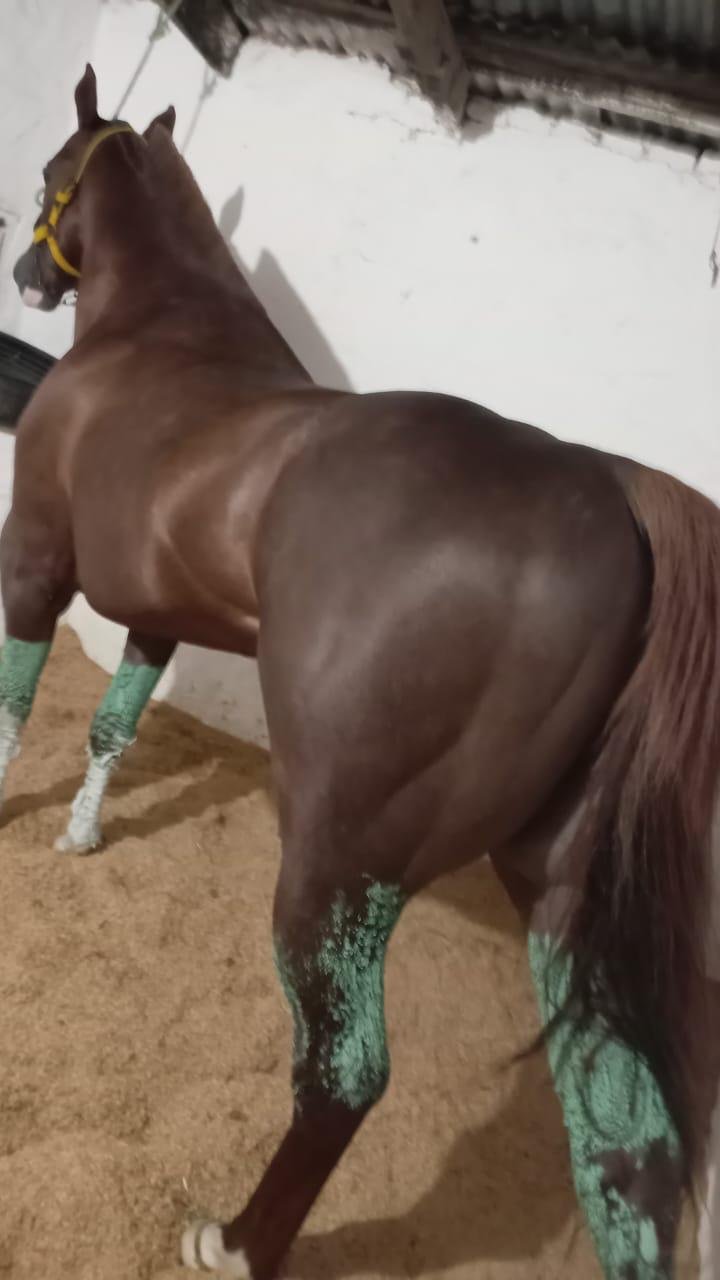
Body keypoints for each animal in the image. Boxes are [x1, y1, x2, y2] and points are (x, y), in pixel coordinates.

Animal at [8, 63, 720, 1280]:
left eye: (56, 170)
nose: (23, 273)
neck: (157, 332)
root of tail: (612, 485)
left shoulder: (36, 559)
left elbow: (13, 701)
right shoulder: (152, 619)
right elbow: (112, 725)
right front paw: (82, 835)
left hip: (343, 864)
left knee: (346, 1071)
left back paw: (237, 1240)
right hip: (558, 888)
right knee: (626, 1136)